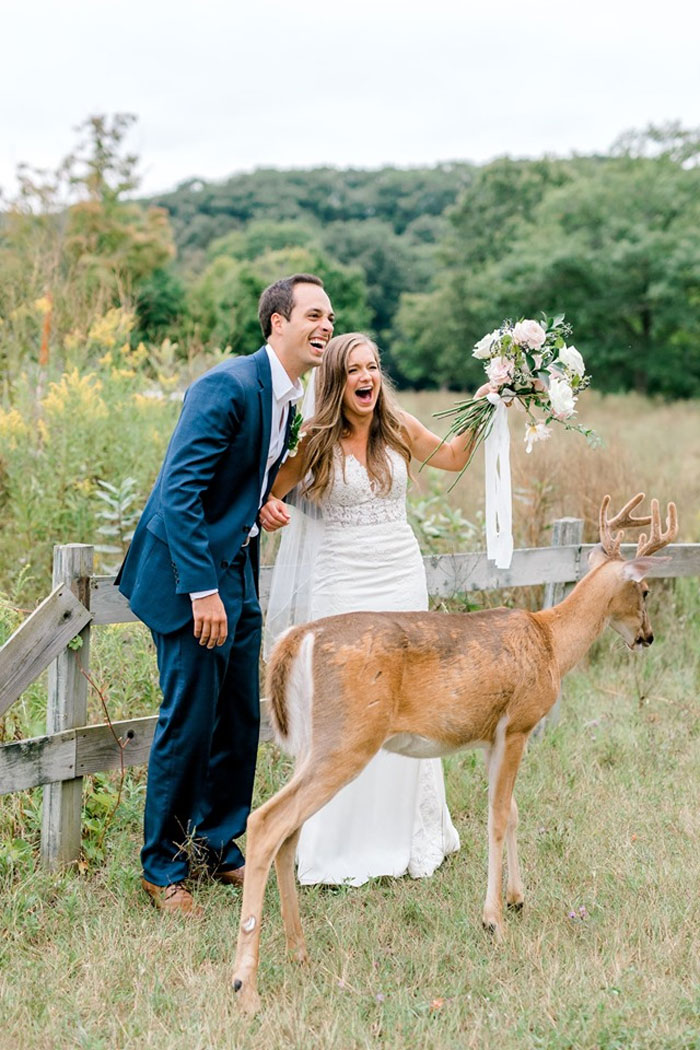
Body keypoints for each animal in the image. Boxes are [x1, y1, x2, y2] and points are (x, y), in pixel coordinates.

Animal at [234, 495, 680, 1012]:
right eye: (644, 591)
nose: (648, 636)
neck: (551, 643)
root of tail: (294, 639)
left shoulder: (492, 738)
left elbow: (514, 810)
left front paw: (517, 898)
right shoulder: (519, 723)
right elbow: (498, 817)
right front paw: (494, 920)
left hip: (312, 745)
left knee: (288, 833)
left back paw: (299, 951)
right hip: (348, 739)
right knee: (266, 822)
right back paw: (246, 985)